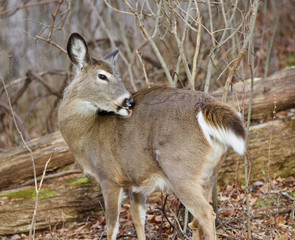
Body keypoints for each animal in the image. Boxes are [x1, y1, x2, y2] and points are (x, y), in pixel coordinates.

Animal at [58, 32, 247, 240]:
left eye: (117, 75)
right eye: (102, 75)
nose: (129, 101)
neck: (85, 136)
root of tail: (205, 107)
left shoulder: (108, 177)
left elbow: (111, 227)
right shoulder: (134, 182)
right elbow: (138, 219)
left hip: (180, 168)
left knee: (205, 213)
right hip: (210, 173)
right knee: (197, 220)